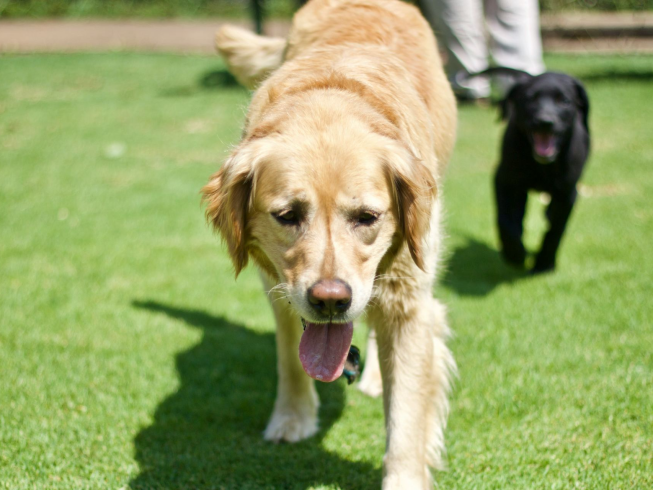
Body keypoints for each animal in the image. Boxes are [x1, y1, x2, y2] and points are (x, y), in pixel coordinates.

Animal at [486, 71, 588, 274]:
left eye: (564, 101)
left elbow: (556, 230)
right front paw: (515, 253)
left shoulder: (568, 193)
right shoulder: (504, 180)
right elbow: (505, 220)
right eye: (529, 99)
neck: (542, 166)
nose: (545, 122)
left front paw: (544, 263)